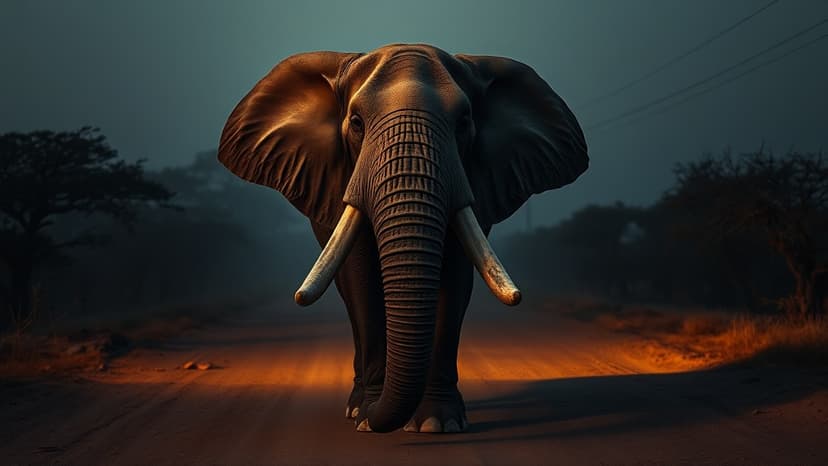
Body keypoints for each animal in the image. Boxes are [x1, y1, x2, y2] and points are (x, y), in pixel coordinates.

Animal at [218, 43, 588, 433]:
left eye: (463, 123)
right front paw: (367, 419)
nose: (375, 414)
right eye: (357, 123)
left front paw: (437, 423)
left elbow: (454, 279)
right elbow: (362, 280)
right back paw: (355, 408)